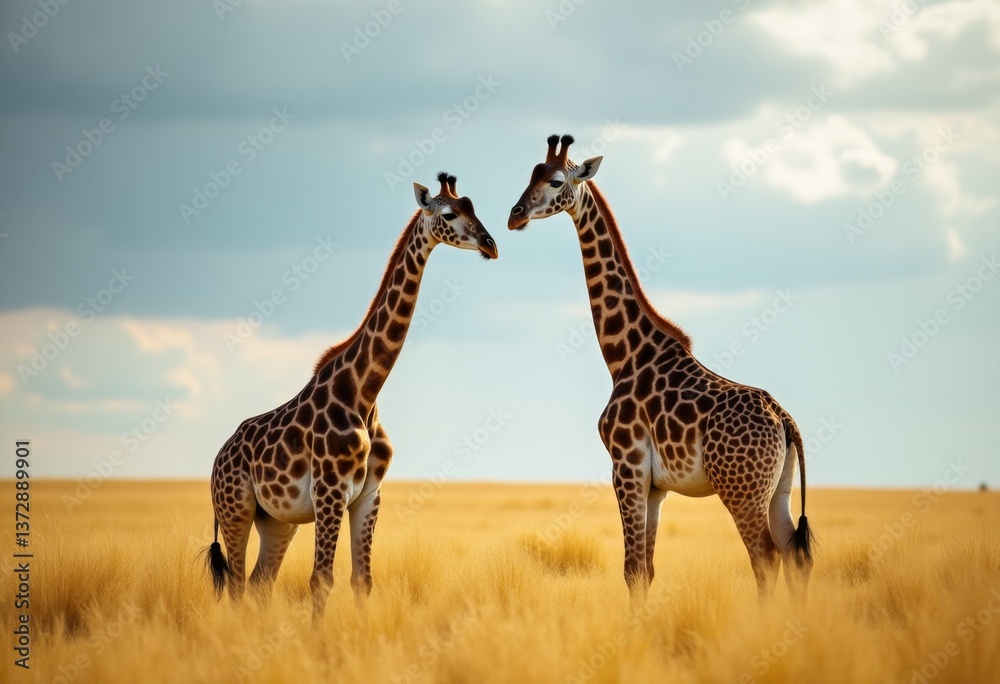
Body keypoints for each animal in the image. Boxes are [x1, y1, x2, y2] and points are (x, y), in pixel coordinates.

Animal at [207, 173, 498, 618]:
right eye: (449, 214)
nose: (490, 244)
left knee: (259, 583)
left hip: (276, 520)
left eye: (474, 206)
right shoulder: (330, 492)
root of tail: (217, 459)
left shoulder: (369, 496)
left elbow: (362, 580)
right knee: (238, 586)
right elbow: (320, 580)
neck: (364, 392)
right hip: (235, 510)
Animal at [508, 135, 813, 601]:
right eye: (531, 174)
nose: (514, 215)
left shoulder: (626, 464)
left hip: (740, 489)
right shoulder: (656, 486)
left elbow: (632, 568)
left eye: (557, 180)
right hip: (778, 487)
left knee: (764, 556)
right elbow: (646, 569)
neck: (624, 355)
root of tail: (783, 419)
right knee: (794, 556)